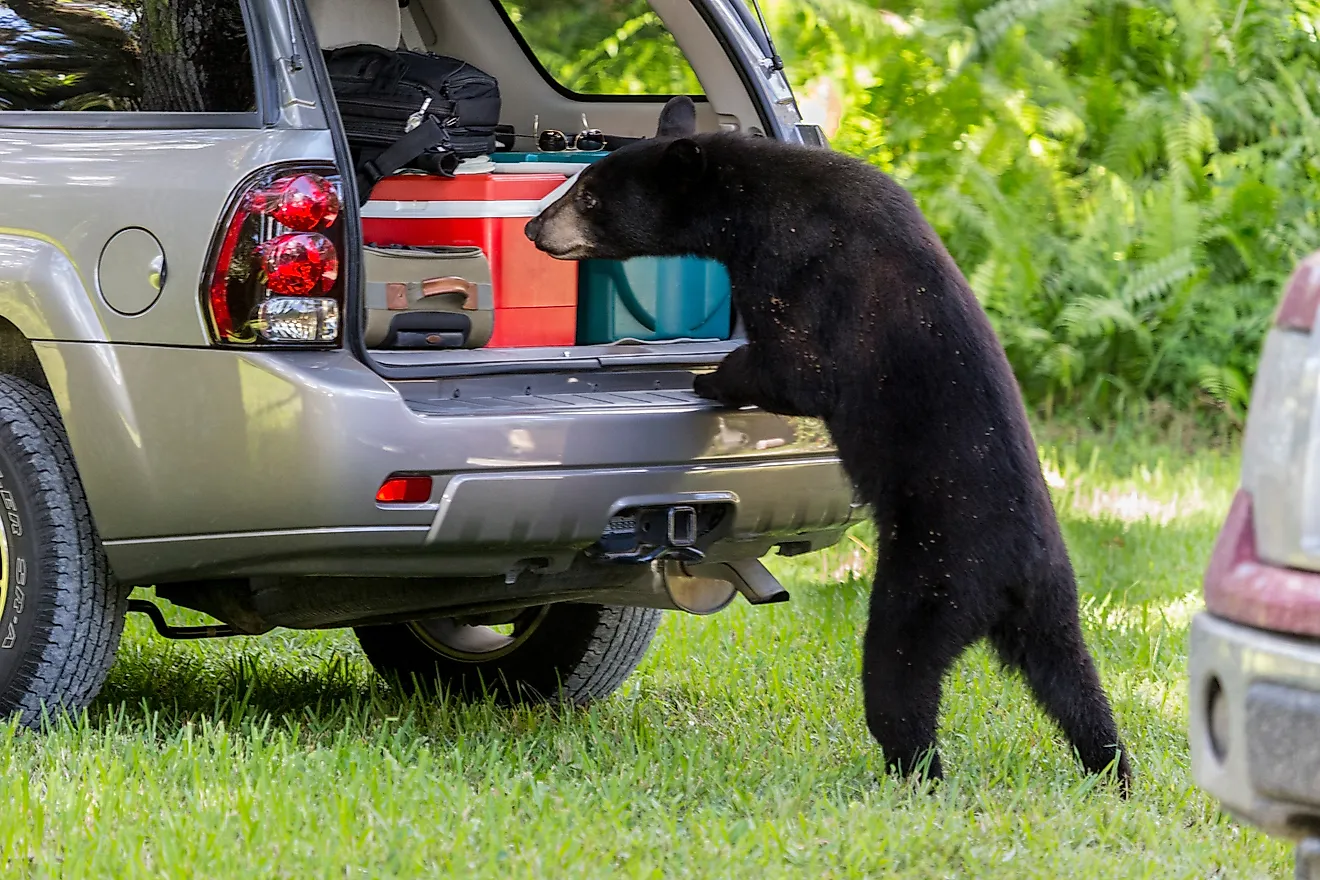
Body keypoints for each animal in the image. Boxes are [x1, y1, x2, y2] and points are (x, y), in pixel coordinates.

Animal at [525, 98, 1132, 791]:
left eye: (590, 195)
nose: (534, 228)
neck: (753, 203)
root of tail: (1013, 577)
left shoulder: (799, 264)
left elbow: (800, 369)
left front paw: (710, 376)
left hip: (935, 576)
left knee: (898, 673)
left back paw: (917, 771)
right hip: (1055, 604)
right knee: (1073, 683)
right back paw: (1112, 770)